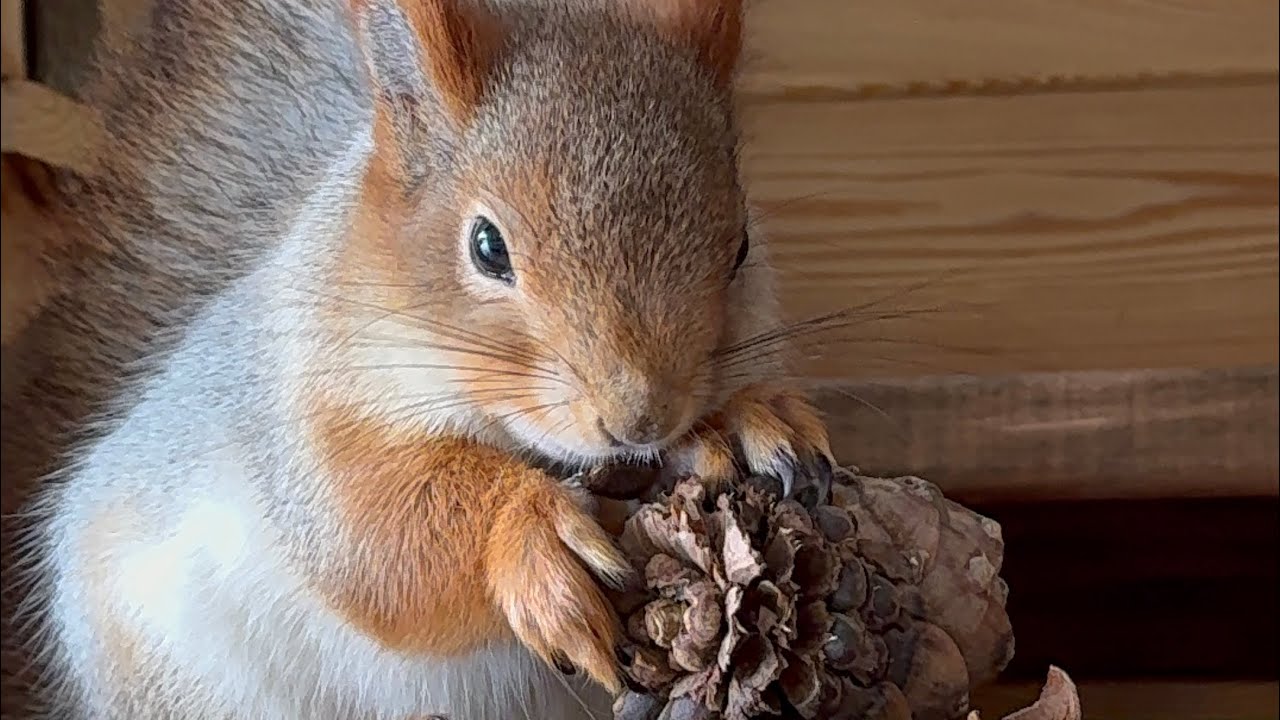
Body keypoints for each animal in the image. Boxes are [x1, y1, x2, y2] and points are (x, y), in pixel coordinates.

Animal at [0, 0, 835, 718]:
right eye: (487, 246)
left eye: (742, 245)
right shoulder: (300, 416)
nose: (641, 419)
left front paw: (740, 424)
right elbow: (373, 542)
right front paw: (528, 535)